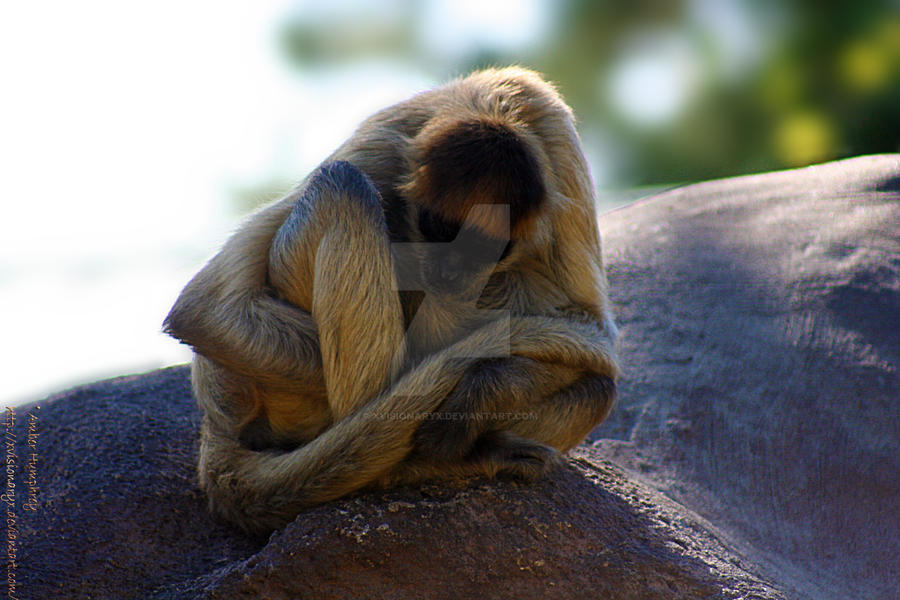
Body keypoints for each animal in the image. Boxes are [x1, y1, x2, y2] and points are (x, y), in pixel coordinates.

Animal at [163, 67, 619, 536]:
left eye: (487, 247)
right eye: (441, 230)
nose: (452, 272)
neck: (486, 108)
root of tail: (219, 424)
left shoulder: (553, 131)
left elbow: (592, 328)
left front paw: (483, 389)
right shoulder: (382, 144)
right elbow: (205, 311)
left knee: (596, 389)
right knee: (342, 188)